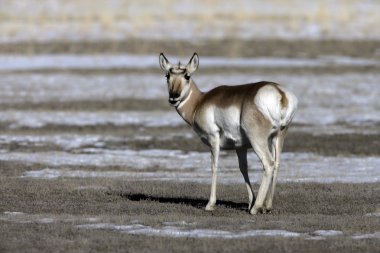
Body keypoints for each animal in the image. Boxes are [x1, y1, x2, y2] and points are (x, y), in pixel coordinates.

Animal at [159, 52, 298, 213]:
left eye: (187, 76)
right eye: (167, 75)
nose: (173, 97)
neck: (200, 102)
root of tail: (280, 93)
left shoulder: (213, 140)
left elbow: (214, 167)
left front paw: (210, 204)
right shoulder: (240, 147)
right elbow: (243, 169)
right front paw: (250, 201)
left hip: (258, 140)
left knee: (269, 163)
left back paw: (256, 208)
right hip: (279, 137)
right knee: (277, 164)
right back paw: (267, 206)